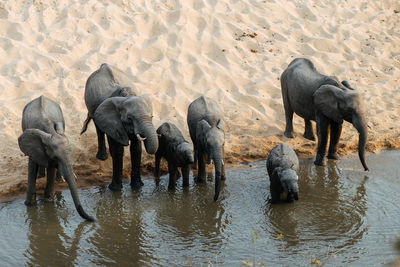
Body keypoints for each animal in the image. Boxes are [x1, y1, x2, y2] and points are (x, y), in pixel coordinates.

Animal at [82, 63, 159, 192]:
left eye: (152, 116)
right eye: (129, 118)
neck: (127, 97)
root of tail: (103, 65)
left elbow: (136, 149)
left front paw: (137, 186)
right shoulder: (112, 121)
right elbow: (118, 149)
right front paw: (115, 190)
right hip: (91, 105)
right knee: (99, 129)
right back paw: (103, 157)